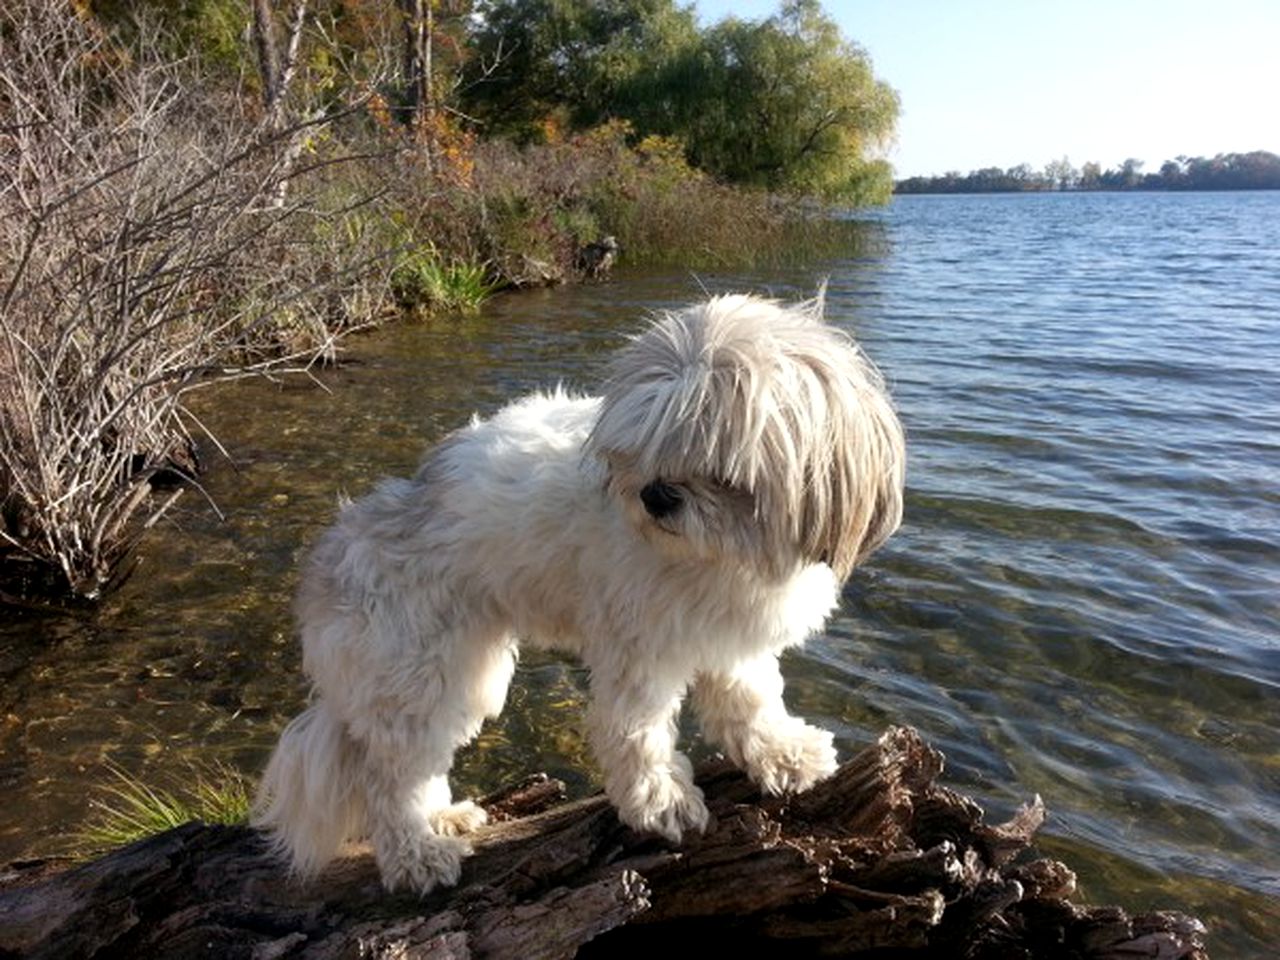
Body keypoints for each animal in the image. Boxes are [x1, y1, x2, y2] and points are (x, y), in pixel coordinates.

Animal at [254, 293, 906, 896]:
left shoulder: (730, 638)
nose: (655, 494)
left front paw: (783, 755)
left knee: (416, 767)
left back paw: (447, 819)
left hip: (458, 674)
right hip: (421, 671)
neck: (717, 557)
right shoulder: (639, 648)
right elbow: (637, 730)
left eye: (718, 465)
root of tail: (339, 549)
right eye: (640, 450)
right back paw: (418, 854)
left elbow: (753, 700)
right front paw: (661, 800)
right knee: (392, 782)